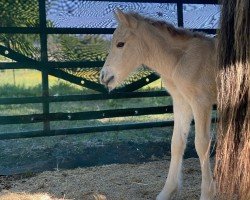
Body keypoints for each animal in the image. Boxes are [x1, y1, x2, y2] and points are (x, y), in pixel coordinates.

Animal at [99, 9, 217, 200]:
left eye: (120, 44)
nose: (103, 76)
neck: (181, 60)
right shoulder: (182, 102)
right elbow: (177, 143)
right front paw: (167, 191)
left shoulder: (201, 102)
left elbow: (202, 144)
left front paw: (207, 193)